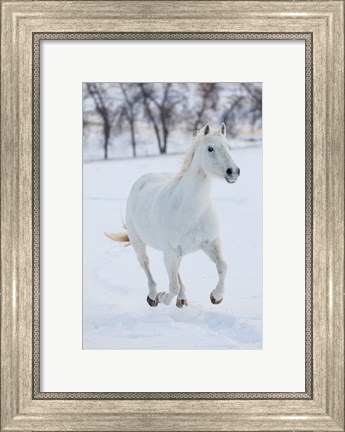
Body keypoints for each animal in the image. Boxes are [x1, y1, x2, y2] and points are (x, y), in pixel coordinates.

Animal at [106, 123, 241, 308]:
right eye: (210, 148)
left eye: (229, 147)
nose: (233, 171)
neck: (192, 211)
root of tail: (143, 180)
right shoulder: (170, 251)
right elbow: (173, 286)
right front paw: (162, 297)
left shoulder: (211, 242)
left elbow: (222, 267)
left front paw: (216, 296)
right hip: (139, 242)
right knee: (145, 263)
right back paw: (153, 296)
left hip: (177, 253)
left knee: (176, 273)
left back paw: (181, 298)